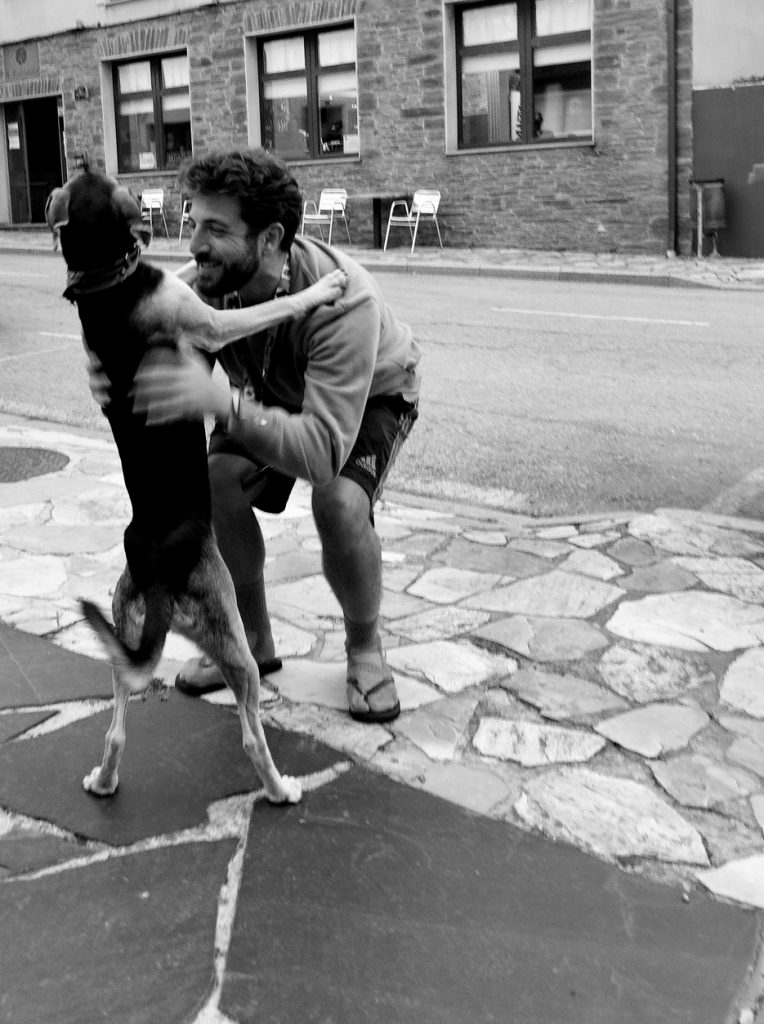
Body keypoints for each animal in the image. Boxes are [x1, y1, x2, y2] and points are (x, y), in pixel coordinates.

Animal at [45, 170, 346, 804]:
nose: (86, 159)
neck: (106, 281)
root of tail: (162, 580)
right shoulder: (210, 323)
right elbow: (276, 303)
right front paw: (325, 286)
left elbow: (190, 272)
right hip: (231, 636)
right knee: (252, 734)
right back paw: (280, 790)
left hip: (124, 629)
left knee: (114, 730)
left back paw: (103, 781)